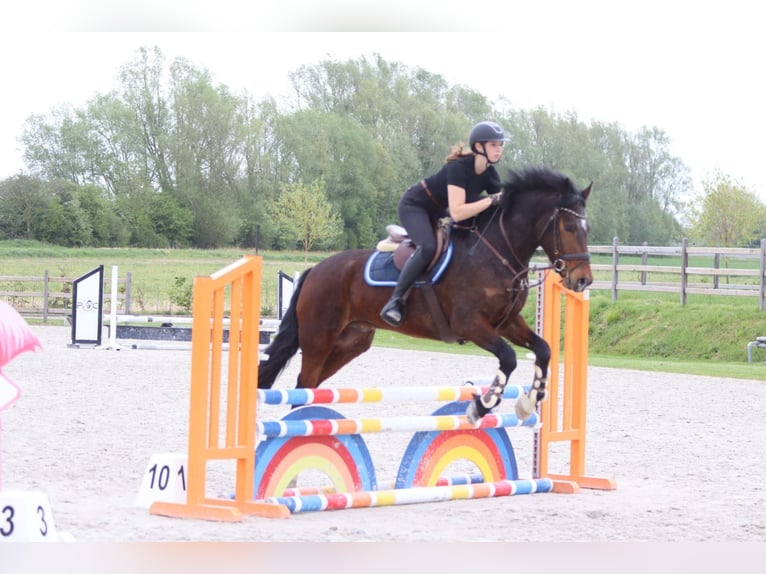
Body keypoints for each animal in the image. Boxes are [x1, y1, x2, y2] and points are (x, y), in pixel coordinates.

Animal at [259, 165, 593, 423]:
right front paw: (482, 405)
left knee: (312, 386)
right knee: (303, 385)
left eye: (587, 228)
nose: (583, 281)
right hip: (318, 340)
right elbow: (509, 358)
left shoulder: (508, 323)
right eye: (568, 225)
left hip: (350, 343)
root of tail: (315, 269)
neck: (496, 253)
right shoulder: (471, 325)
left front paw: (528, 402)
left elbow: (543, 349)